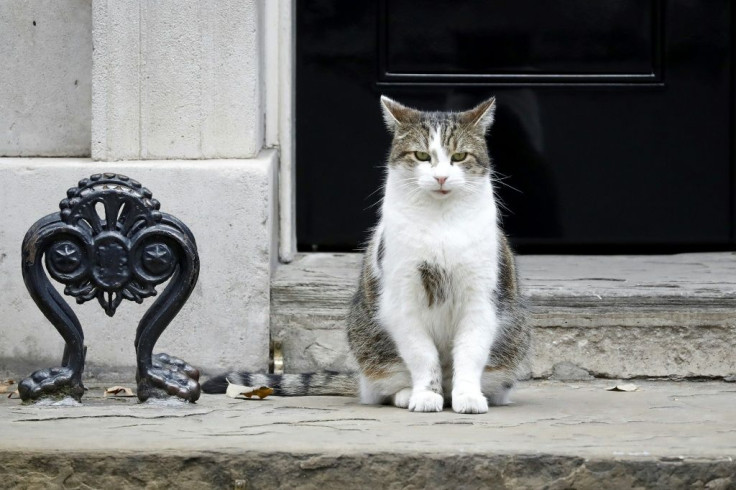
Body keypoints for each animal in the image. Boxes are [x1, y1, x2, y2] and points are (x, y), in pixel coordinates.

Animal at [203, 95, 528, 414]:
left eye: (459, 157)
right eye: (422, 156)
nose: (441, 178)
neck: (441, 223)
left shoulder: (481, 299)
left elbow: (470, 353)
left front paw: (468, 396)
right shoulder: (402, 299)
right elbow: (422, 355)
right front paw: (425, 395)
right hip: (368, 339)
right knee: (381, 387)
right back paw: (407, 394)